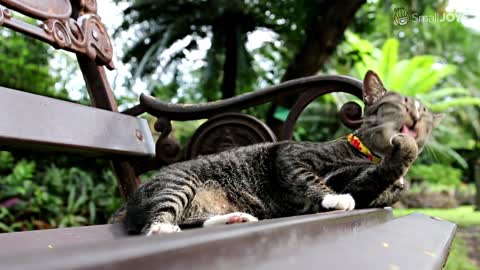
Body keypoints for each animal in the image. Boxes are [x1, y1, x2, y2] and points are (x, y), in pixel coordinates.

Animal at [116, 70, 442, 235]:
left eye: (424, 112)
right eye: (397, 103)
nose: (415, 116)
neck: (369, 154)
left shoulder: (365, 189)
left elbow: (373, 179)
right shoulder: (290, 155)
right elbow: (307, 177)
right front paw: (333, 197)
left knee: (188, 220)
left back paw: (235, 219)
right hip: (179, 183)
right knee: (155, 224)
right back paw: (164, 228)